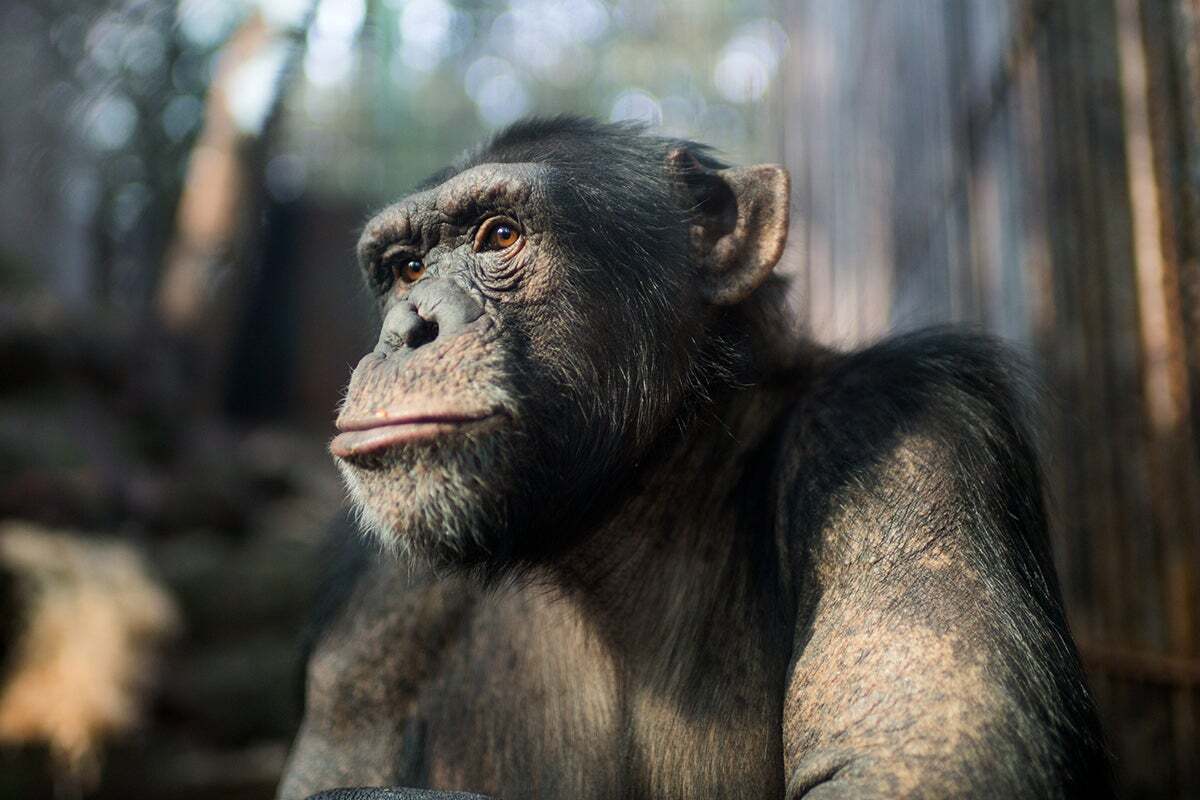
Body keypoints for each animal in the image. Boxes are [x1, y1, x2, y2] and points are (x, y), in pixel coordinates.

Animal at [276, 115, 1108, 796]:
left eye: (500, 237)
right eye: (407, 270)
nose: (408, 329)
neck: (615, 521)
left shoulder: (906, 430)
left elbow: (911, 761)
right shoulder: (374, 606)